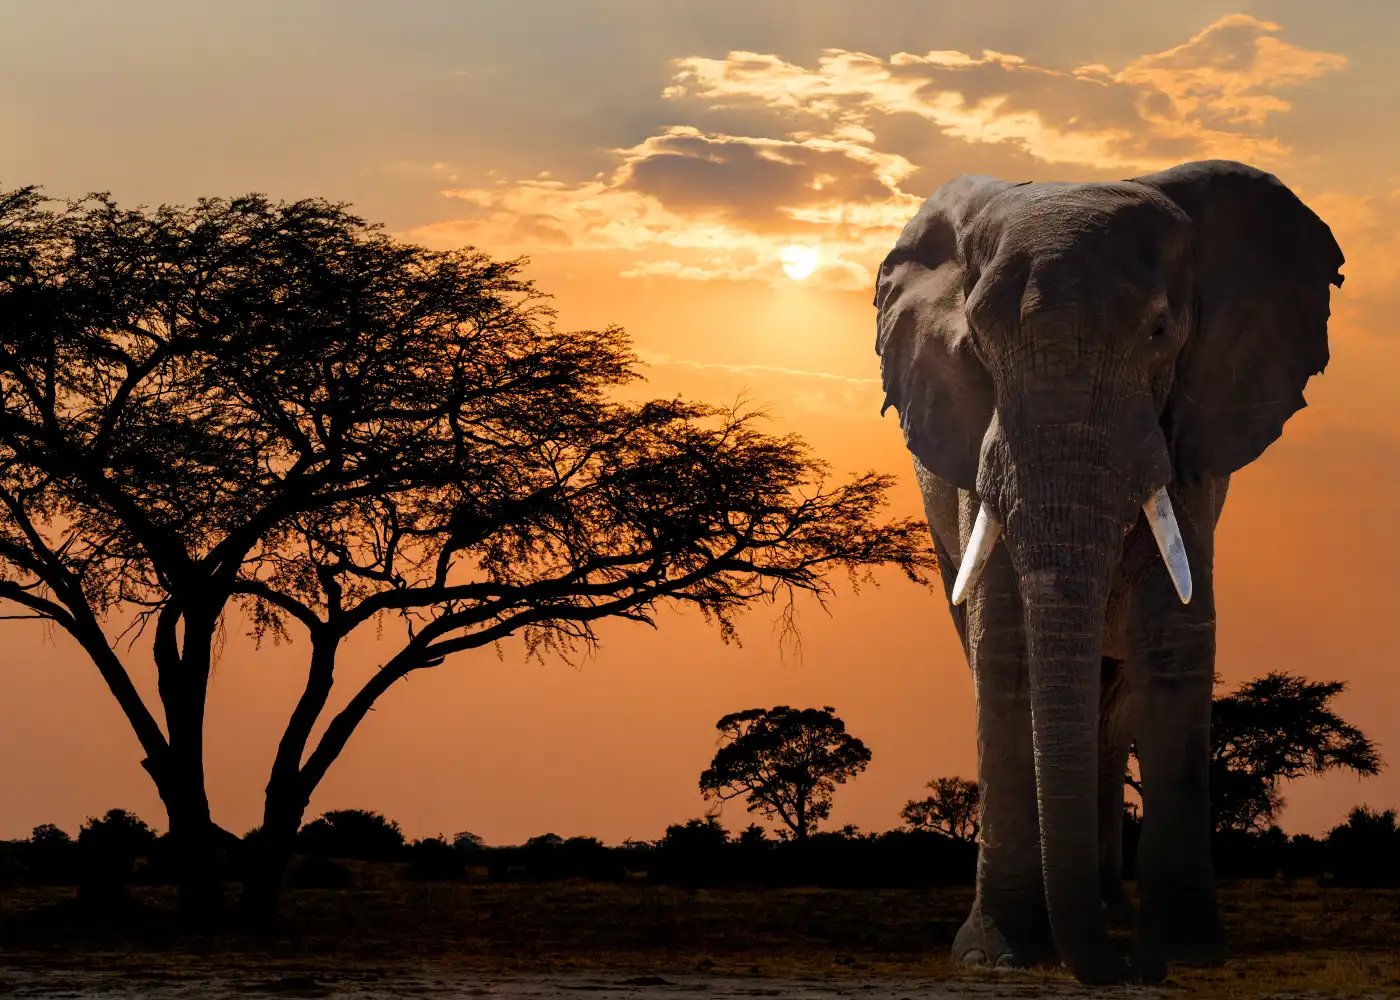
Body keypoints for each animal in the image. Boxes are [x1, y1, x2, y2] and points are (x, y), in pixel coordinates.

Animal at [873, 160, 1344, 984]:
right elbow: (1005, 656)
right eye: (979, 340)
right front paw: (1000, 956)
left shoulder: (1189, 444)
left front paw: (1184, 951)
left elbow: (1174, 644)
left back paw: (1111, 913)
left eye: (1159, 333)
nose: (1133, 969)